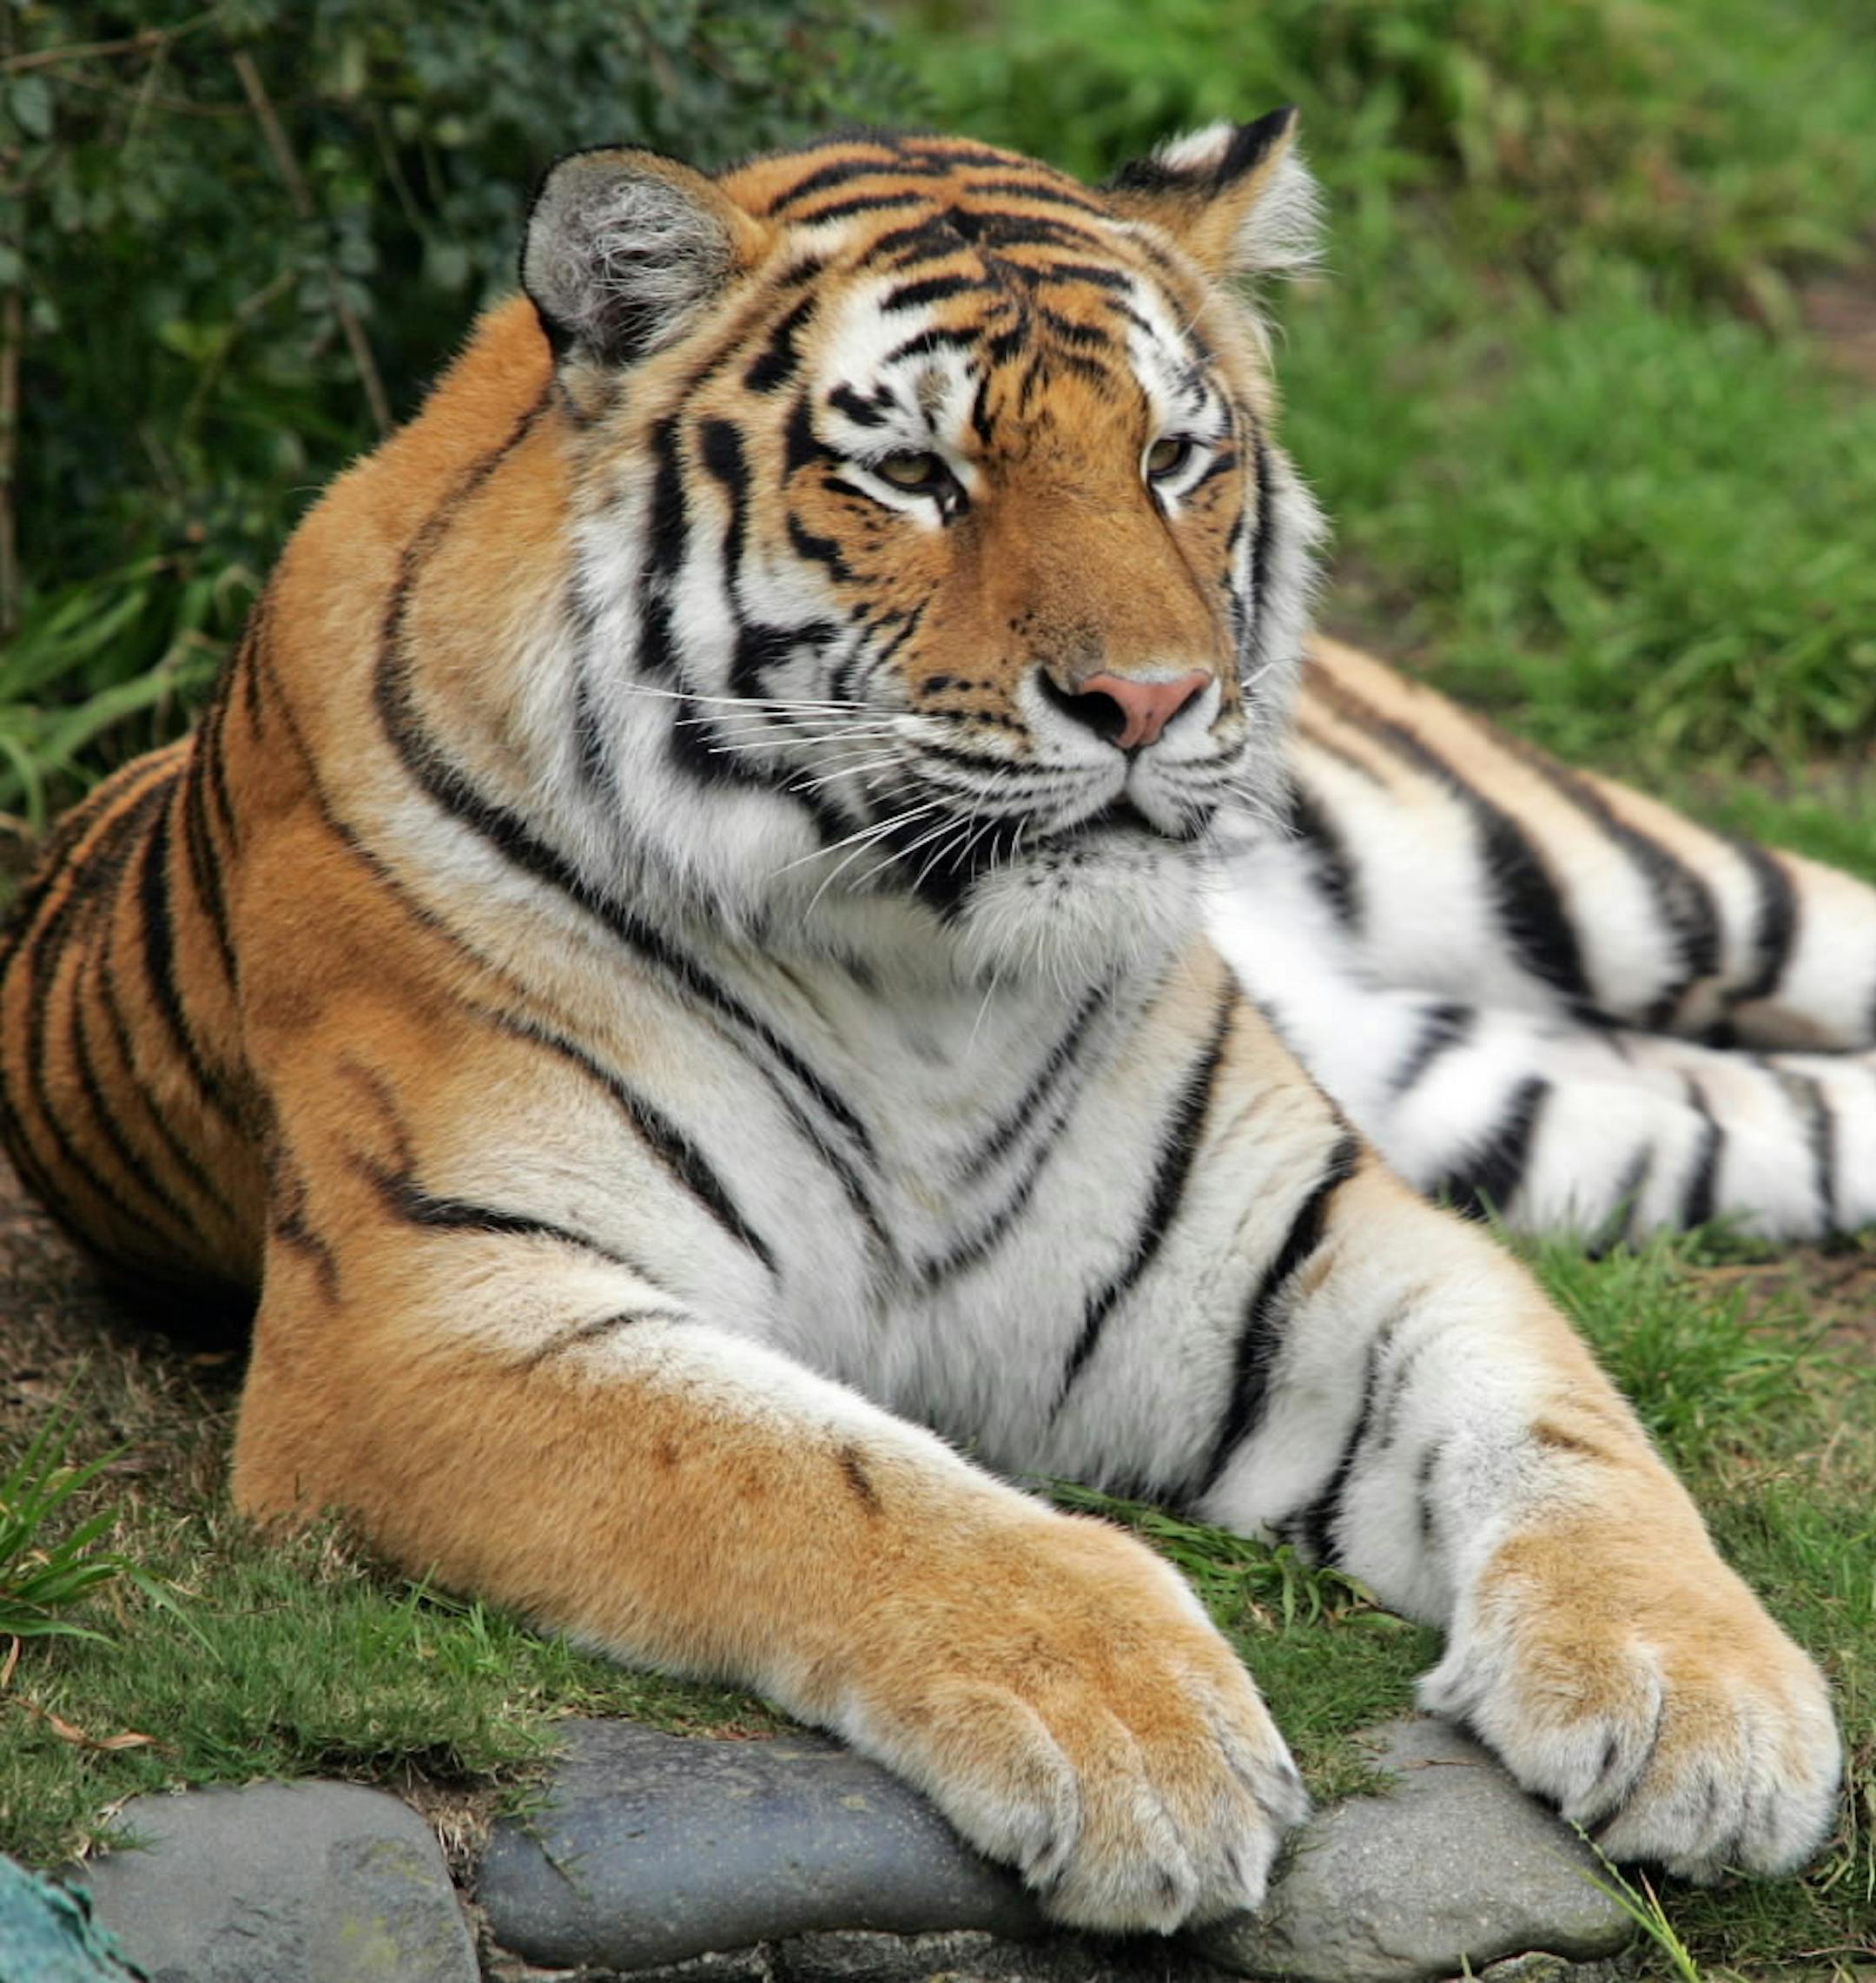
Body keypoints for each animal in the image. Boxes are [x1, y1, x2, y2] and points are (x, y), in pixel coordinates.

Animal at [0, 114, 1859, 1935]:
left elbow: (1572, 1438)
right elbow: (830, 1479)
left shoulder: (1326, 1240)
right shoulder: (430, 1314)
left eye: (1174, 456)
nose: (1151, 700)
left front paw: (1703, 1693)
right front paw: (1137, 1732)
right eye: (913, 474)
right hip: (1543, 1108)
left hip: (1577, 868)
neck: (918, 971)